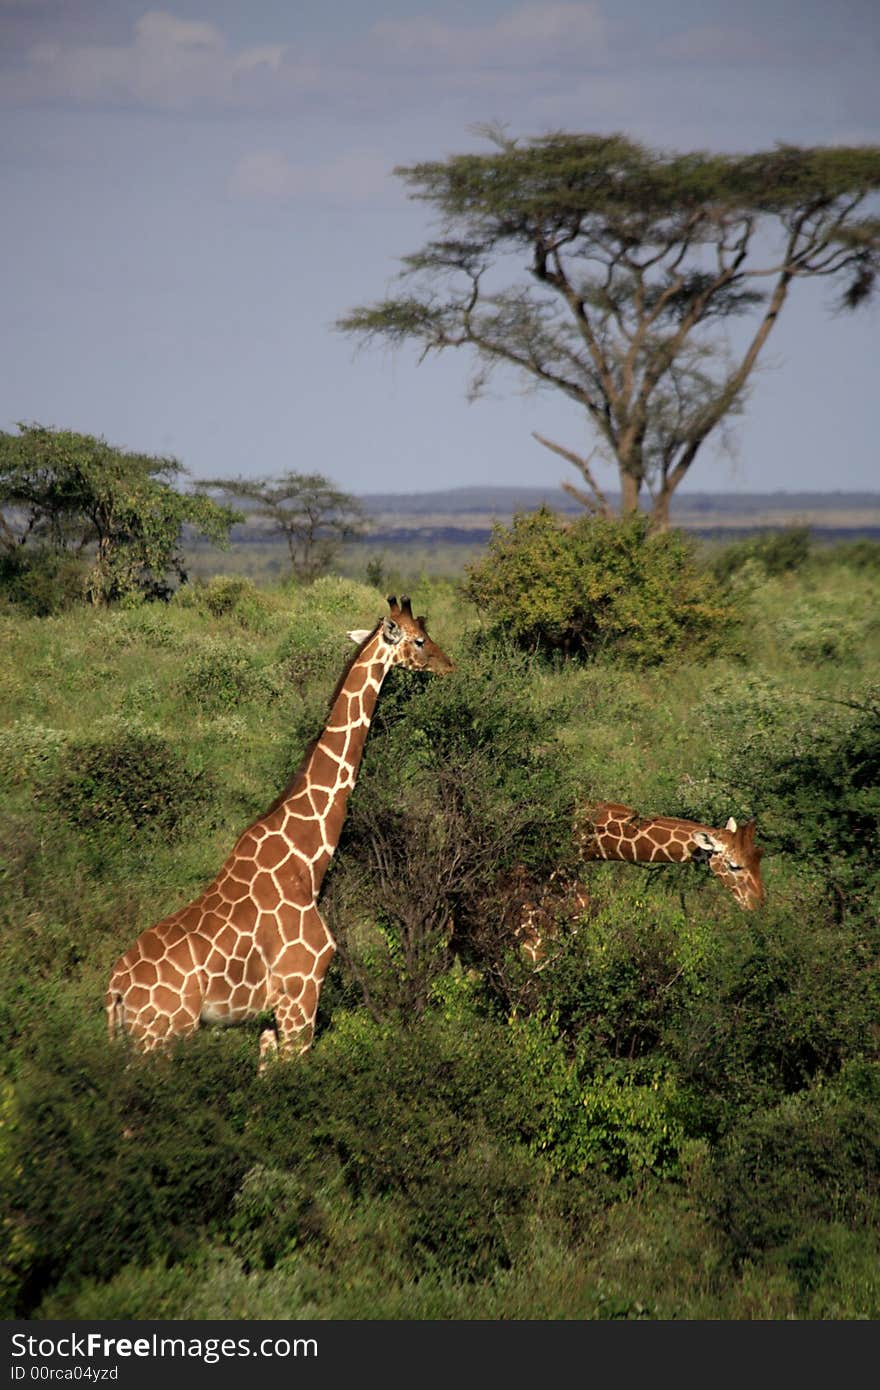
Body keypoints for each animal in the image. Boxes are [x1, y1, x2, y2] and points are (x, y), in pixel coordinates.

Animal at [104, 597, 453, 1061]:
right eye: (419, 639)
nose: (449, 665)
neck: (306, 860)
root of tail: (115, 989)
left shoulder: (273, 1018)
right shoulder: (300, 991)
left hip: (134, 1040)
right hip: (161, 1038)